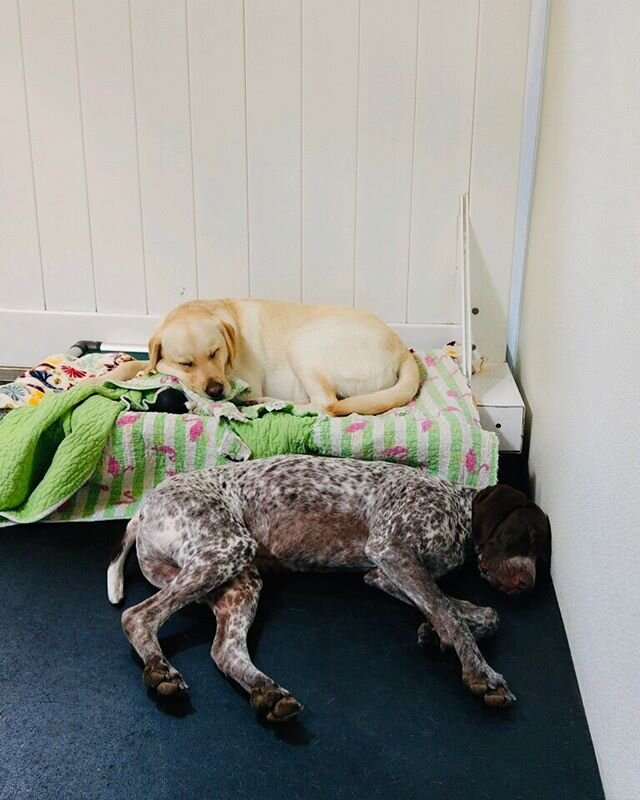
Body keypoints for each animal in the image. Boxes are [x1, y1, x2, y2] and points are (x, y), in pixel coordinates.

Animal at [107, 454, 548, 720]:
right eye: (525, 537)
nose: (528, 587)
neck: (455, 509)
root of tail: (143, 509)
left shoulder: (384, 573)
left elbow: (476, 612)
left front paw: (436, 633)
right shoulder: (391, 550)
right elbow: (450, 612)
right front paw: (481, 673)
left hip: (238, 576)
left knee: (225, 651)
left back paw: (267, 691)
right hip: (227, 548)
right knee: (137, 617)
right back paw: (159, 671)